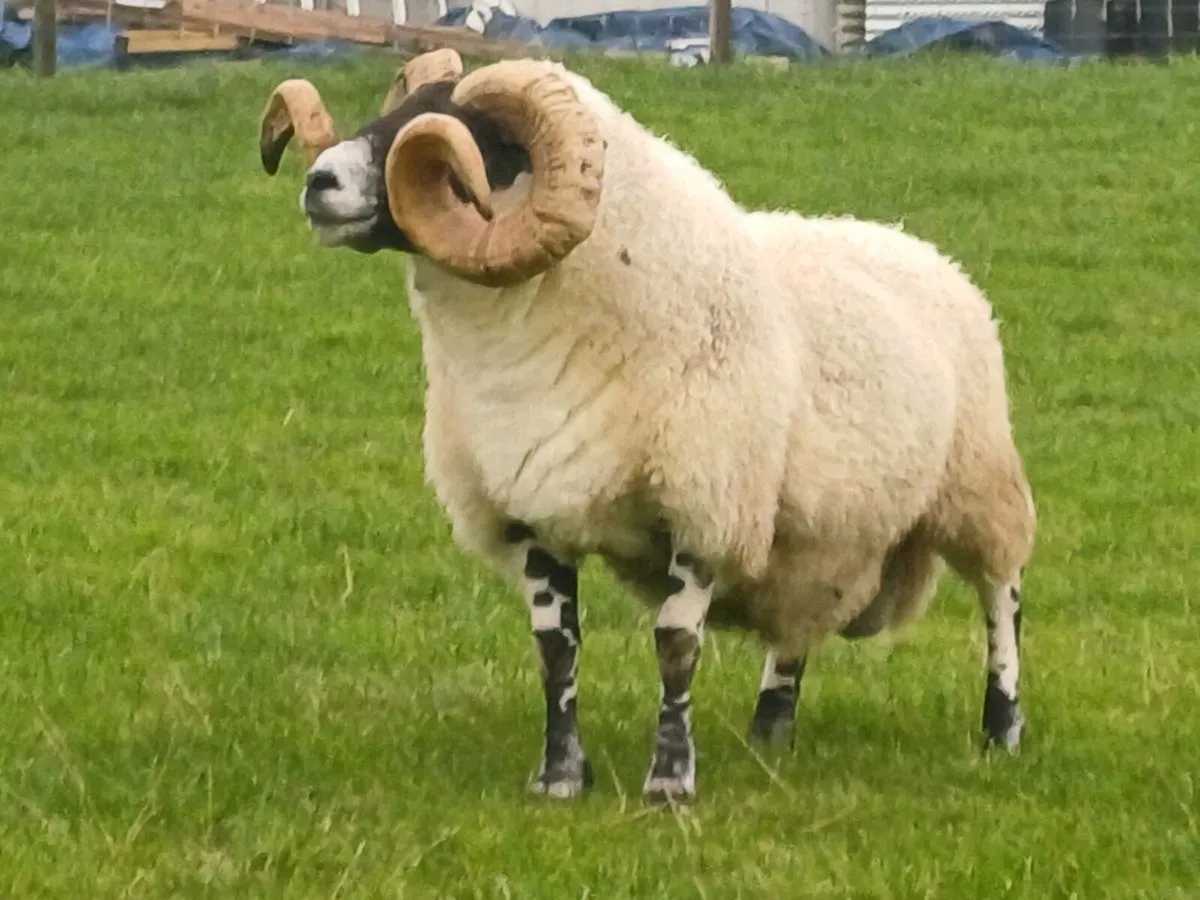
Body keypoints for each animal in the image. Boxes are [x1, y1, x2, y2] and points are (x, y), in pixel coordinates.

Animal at [256, 50, 1037, 803]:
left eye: (466, 144)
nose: (319, 181)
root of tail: (914, 246)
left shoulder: (705, 507)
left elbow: (675, 645)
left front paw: (669, 780)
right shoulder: (528, 510)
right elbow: (556, 647)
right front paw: (560, 778)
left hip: (978, 483)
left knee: (1002, 599)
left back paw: (1002, 730)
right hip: (820, 537)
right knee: (797, 624)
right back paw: (771, 730)